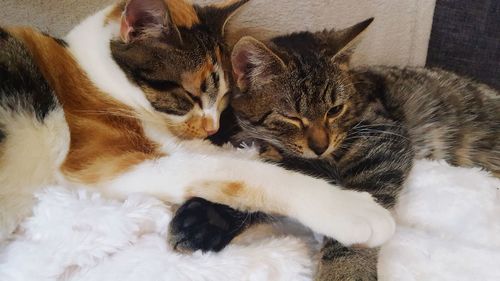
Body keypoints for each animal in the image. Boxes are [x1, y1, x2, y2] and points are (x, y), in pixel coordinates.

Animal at [0, 0, 394, 250]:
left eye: (224, 97)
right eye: (191, 95)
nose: (212, 127)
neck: (96, 74)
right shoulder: (103, 161)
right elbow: (234, 172)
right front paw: (352, 209)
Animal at [170, 18, 498, 278]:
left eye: (335, 109)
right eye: (292, 116)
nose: (320, 145)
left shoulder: (382, 138)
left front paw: (346, 270)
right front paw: (208, 217)